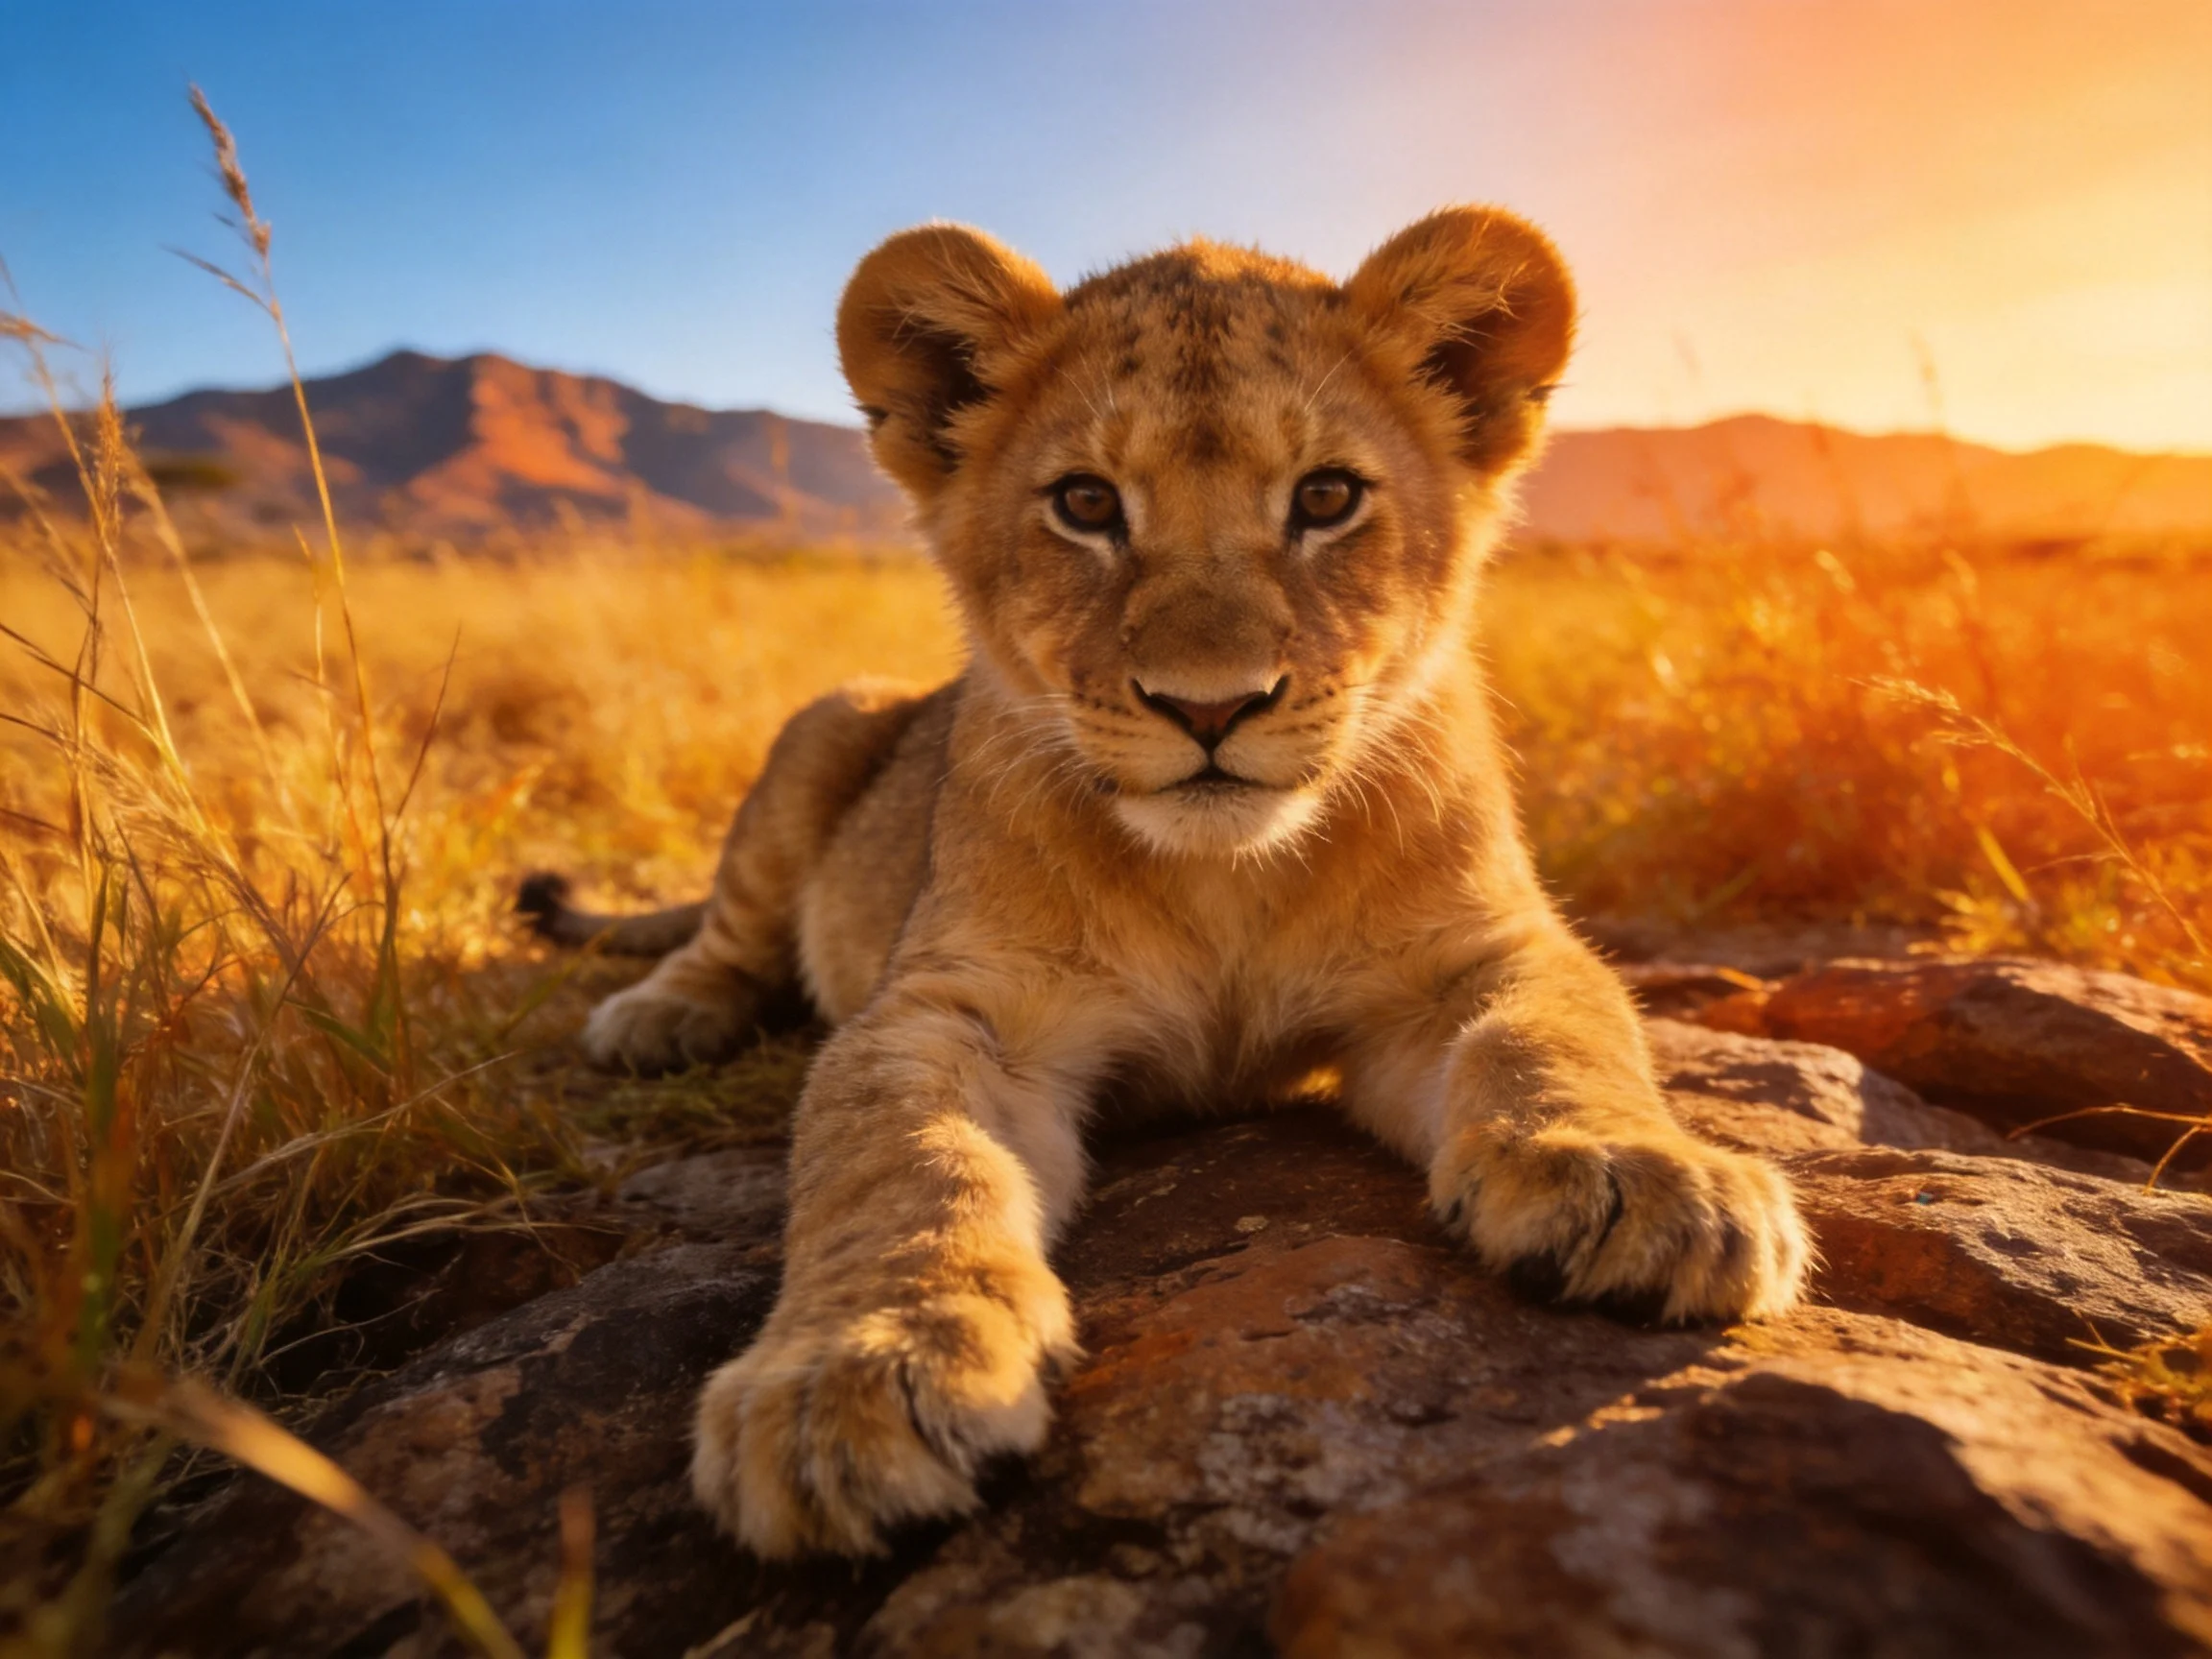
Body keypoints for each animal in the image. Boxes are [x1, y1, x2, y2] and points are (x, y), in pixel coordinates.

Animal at [518, 207, 1810, 1558]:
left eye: (1326, 497)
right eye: (1086, 503)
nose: (1210, 705)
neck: (1223, 880)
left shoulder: (1477, 953)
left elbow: (1558, 1034)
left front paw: (1648, 1181)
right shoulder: (953, 1007)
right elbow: (899, 1161)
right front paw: (855, 1376)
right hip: (827, 720)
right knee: (727, 935)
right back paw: (657, 1016)